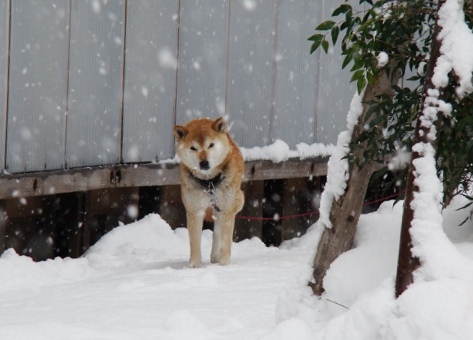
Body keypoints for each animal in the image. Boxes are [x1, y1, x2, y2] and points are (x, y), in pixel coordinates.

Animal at [175, 117, 245, 268]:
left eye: (211, 145)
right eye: (193, 148)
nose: (204, 163)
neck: (209, 183)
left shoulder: (227, 209)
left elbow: (225, 240)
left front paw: (224, 264)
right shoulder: (194, 210)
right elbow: (195, 241)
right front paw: (194, 265)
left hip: (234, 201)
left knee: (217, 232)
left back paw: (216, 256)